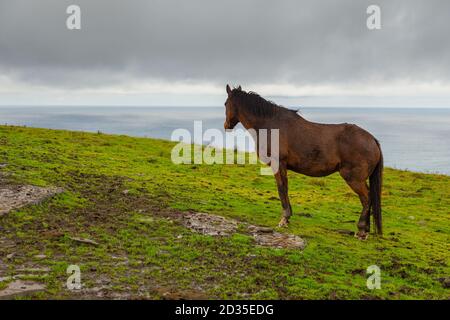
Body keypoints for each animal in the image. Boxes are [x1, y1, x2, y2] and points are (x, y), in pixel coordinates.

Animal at [224, 84, 384, 239]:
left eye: (226, 103)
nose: (226, 126)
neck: (270, 125)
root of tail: (372, 140)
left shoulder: (279, 164)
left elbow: (282, 189)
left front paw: (284, 219)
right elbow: (285, 188)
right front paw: (288, 217)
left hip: (354, 178)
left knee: (366, 198)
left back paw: (362, 230)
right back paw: (365, 229)